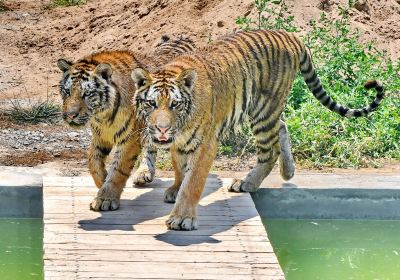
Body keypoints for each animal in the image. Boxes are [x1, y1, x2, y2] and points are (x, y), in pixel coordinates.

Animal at [56, 35, 197, 211]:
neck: (102, 115)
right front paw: (102, 180)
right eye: (67, 92)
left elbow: (118, 169)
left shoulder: (130, 138)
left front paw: (106, 198)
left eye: (87, 94)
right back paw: (143, 173)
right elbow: (92, 161)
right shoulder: (101, 135)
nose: (71, 115)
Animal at [132, 29, 384, 231]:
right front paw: (175, 189)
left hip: (263, 109)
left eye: (175, 104)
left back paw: (247, 183)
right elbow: (180, 169)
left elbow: (193, 181)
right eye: (151, 103)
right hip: (266, 111)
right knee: (282, 126)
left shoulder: (206, 143)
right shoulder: (180, 143)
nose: (161, 129)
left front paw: (183, 217)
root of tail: (289, 35)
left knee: (270, 150)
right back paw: (288, 171)